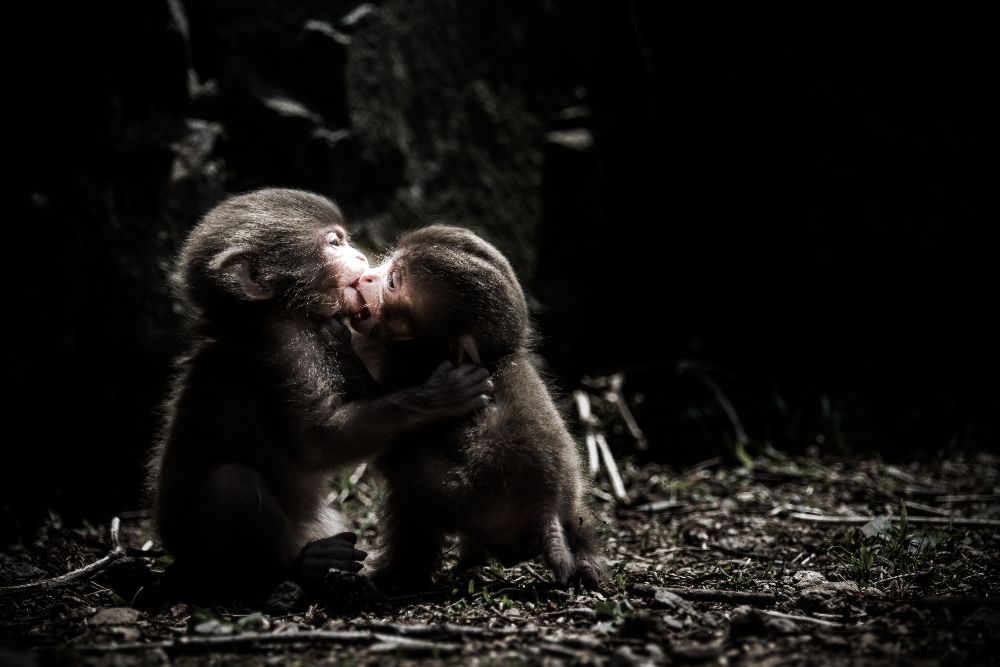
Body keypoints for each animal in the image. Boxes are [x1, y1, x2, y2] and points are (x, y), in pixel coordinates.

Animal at [148, 190, 492, 596]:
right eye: (334, 244)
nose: (361, 257)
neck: (273, 315)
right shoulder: (286, 347)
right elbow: (318, 443)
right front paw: (438, 396)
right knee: (230, 482)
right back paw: (295, 569)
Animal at [352, 224, 604, 588]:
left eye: (394, 282)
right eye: (388, 265)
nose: (368, 276)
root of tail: (546, 500)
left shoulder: (409, 362)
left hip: (468, 491)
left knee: (410, 486)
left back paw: (393, 573)